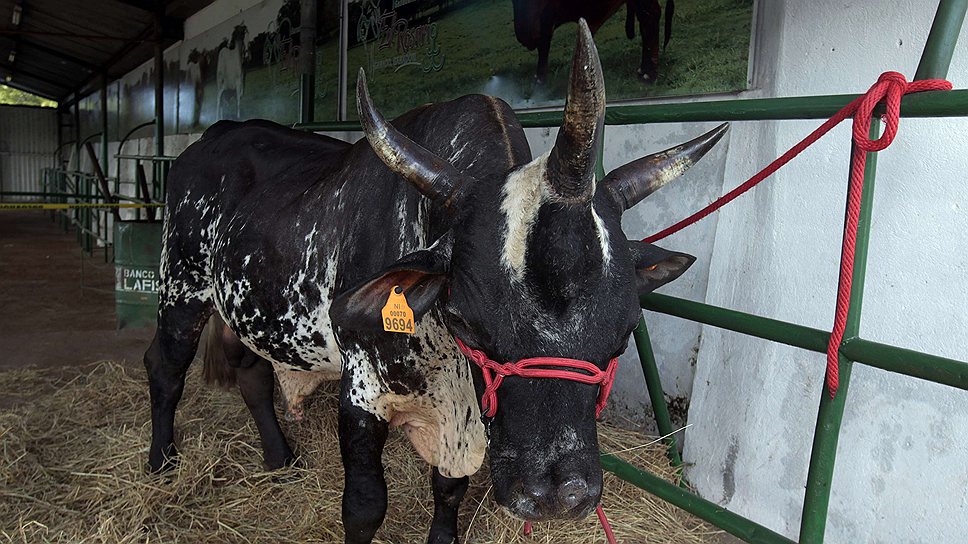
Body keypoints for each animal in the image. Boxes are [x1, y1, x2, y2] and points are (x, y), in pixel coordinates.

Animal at [146, 19, 728, 544]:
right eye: (467, 321)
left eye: (626, 331)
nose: (555, 497)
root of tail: (213, 136)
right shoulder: (361, 395)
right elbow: (364, 507)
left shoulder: (465, 419)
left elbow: (449, 491)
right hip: (181, 287)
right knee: (165, 367)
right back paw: (161, 463)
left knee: (250, 372)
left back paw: (280, 458)